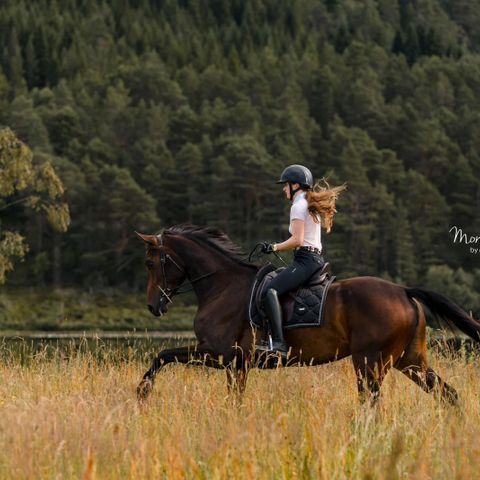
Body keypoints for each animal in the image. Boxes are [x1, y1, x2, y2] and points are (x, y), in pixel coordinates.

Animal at [134, 225, 480, 404]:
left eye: (151, 263)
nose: (153, 306)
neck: (222, 285)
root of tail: (404, 291)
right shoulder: (236, 364)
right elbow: (234, 397)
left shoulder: (218, 354)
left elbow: (162, 355)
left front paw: (142, 392)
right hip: (410, 360)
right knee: (447, 394)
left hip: (370, 361)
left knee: (371, 401)